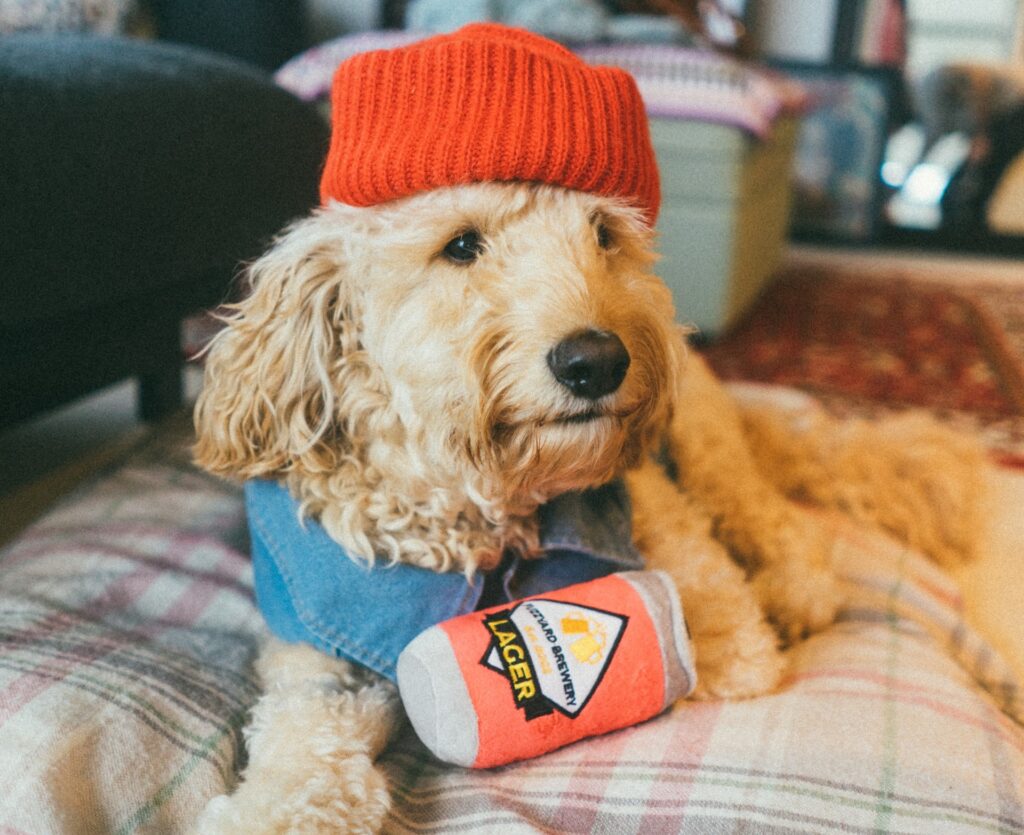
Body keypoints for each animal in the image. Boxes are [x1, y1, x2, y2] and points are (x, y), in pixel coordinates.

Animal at [188, 22, 987, 831]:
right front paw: (276, 805)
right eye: (461, 245)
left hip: (702, 445)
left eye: (603, 234)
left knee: (773, 520)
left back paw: (795, 591)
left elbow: (715, 616)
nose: (597, 360)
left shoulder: (666, 533)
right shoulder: (316, 646)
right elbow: (304, 734)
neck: (487, 509)